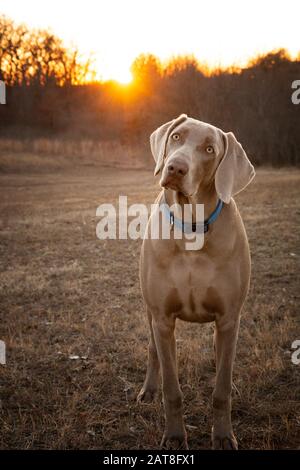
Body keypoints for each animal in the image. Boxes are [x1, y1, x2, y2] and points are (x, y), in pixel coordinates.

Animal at [138, 114, 255, 448]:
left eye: (209, 149)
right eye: (176, 136)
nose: (176, 167)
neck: (191, 226)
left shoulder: (228, 319)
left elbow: (221, 390)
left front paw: (223, 435)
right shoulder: (163, 318)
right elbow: (172, 390)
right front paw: (175, 436)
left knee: (222, 360)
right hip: (150, 313)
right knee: (152, 350)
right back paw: (149, 389)